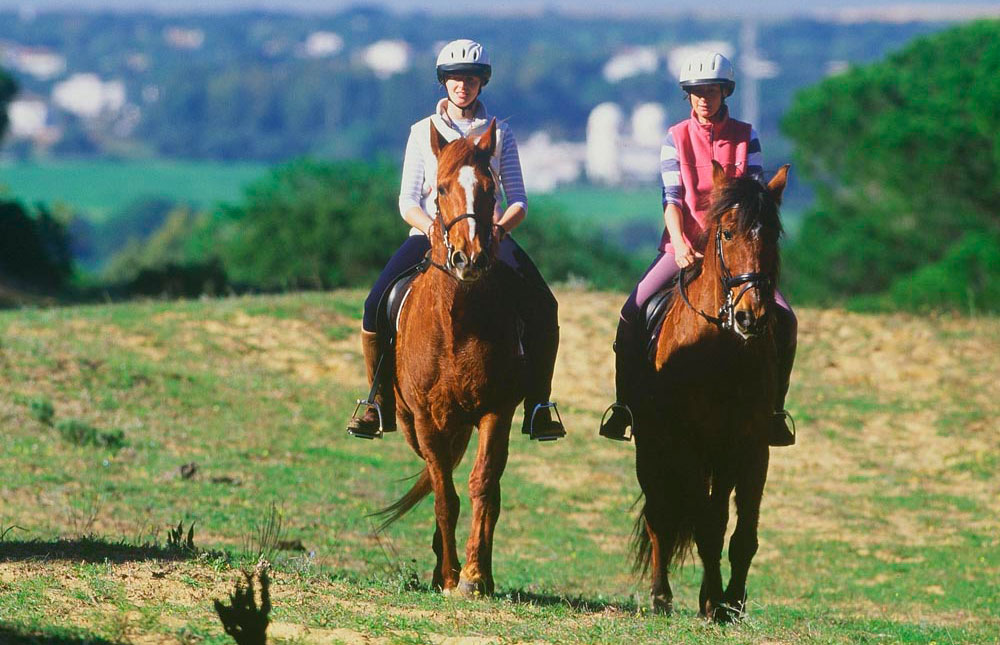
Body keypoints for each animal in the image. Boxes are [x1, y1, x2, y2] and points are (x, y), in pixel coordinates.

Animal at [376, 119, 528, 592]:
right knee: (435, 475)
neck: (459, 322)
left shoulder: (496, 411)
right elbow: (444, 494)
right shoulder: (426, 418)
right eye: (440, 188)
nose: (469, 258)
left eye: (490, 189)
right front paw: (447, 576)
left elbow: (482, 487)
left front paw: (474, 577)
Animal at [632, 160, 788, 620]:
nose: (752, 316)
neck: (722, 350)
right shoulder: (688, 446)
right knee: (660, 517)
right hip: (653, 450)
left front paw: (728, 602)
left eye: (772, 234)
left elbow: (740, 533)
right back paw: (661, 596)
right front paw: (712, 602)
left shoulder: (751, 447)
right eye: (728, 233)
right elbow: (702, 525)